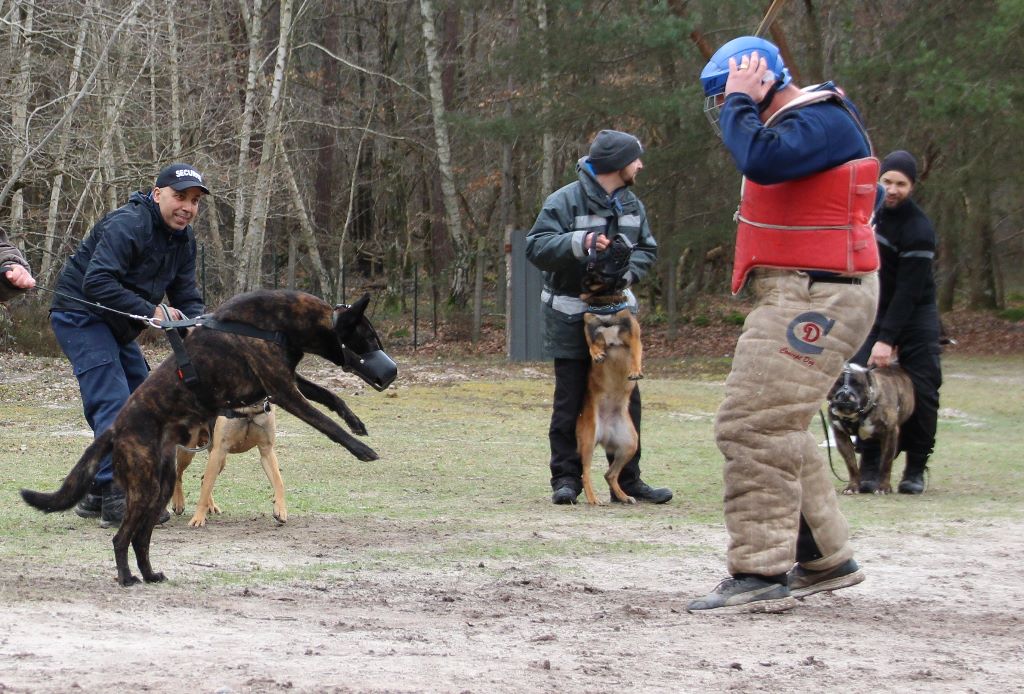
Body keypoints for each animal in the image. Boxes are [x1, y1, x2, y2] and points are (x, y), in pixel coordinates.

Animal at [20, 288, 395, 585]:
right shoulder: (283, 389)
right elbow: (326, 424)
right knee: (121, 538)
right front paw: (361, 448)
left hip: (160, 486)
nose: (392, 373)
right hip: (144, 487)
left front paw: (356, 423)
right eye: (370, 339)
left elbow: (331, 397)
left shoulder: (288, 381)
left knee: (141, 538)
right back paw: (127, 578)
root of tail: (116, 428)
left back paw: (150, 575)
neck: (278, 324)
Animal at [827, 364, 917, 495]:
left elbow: (886, 463)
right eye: (837, 383)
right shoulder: (841, 436)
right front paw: (852, 487)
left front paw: (883, 487)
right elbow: (851, 464)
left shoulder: (890, 434)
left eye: (857, 384)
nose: (845, 393)